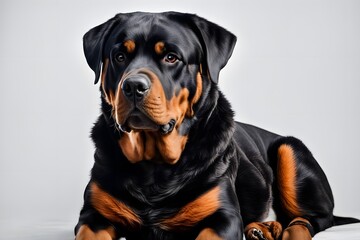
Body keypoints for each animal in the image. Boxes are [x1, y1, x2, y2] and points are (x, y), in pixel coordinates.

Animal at [74, 11, 358, 240]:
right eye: (119, 56)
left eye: (171, 57)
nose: (133, 86)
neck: (154, 166)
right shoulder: (93, 216)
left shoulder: (223, 217)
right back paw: (263, 229)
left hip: (290, 149)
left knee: (311, 218)